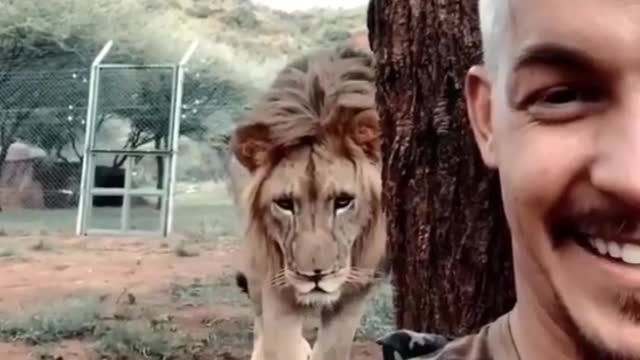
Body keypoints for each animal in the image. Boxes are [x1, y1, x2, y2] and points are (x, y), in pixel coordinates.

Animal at [228, 45, 388, 360]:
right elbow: (280, 344)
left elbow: (333, 349)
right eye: (284, 204)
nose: (315, 276)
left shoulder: (357, 286)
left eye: (343, 201)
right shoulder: (276, 278)